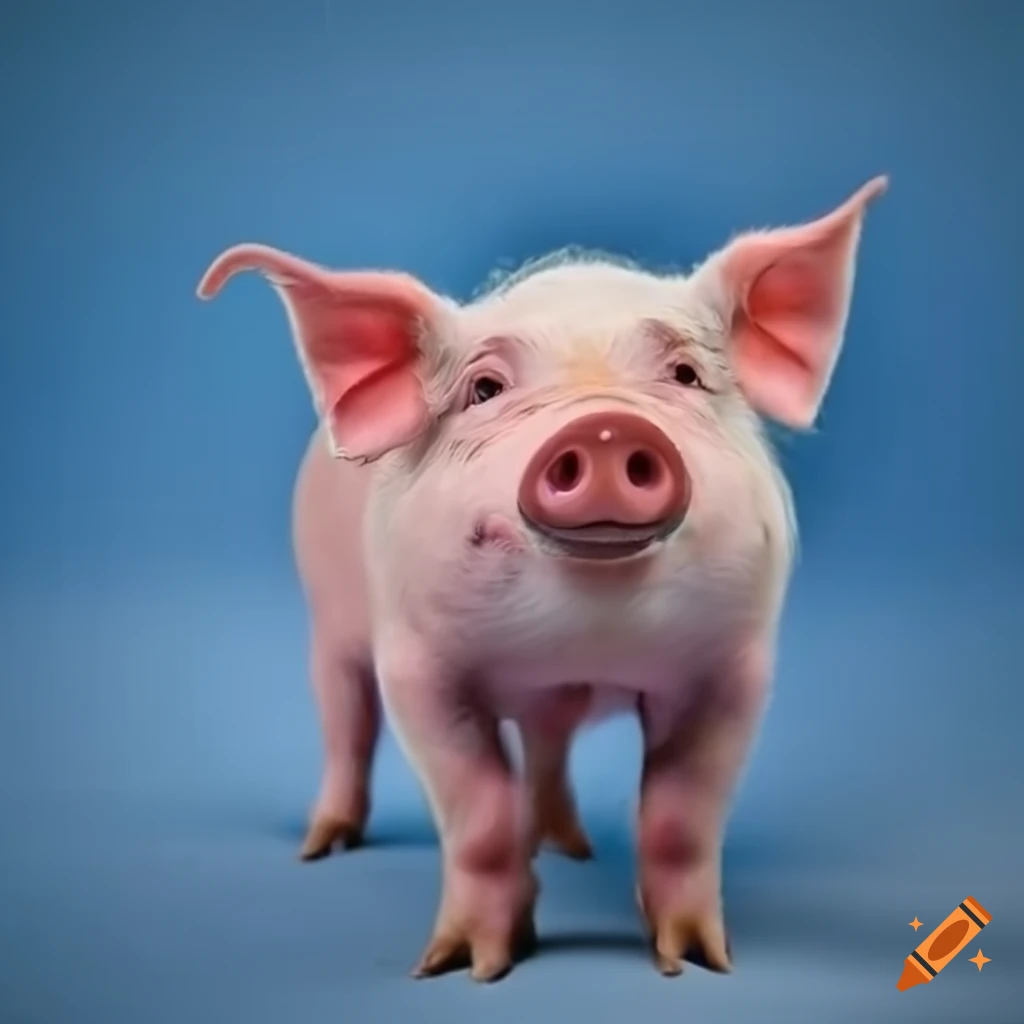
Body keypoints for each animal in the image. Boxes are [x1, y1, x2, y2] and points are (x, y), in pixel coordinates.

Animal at [197, 176, 886, 982]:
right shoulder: (417, 666)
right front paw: (463, 966)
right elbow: (478, 813)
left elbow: (682, 817)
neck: (578, 641)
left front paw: (698, 962)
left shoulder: (735, 667)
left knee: (548, 742)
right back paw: (324, 845)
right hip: (329, 621)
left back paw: (567, 845)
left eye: (685, 375)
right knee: (346, 719)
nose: (608, 428)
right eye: (485, 389)